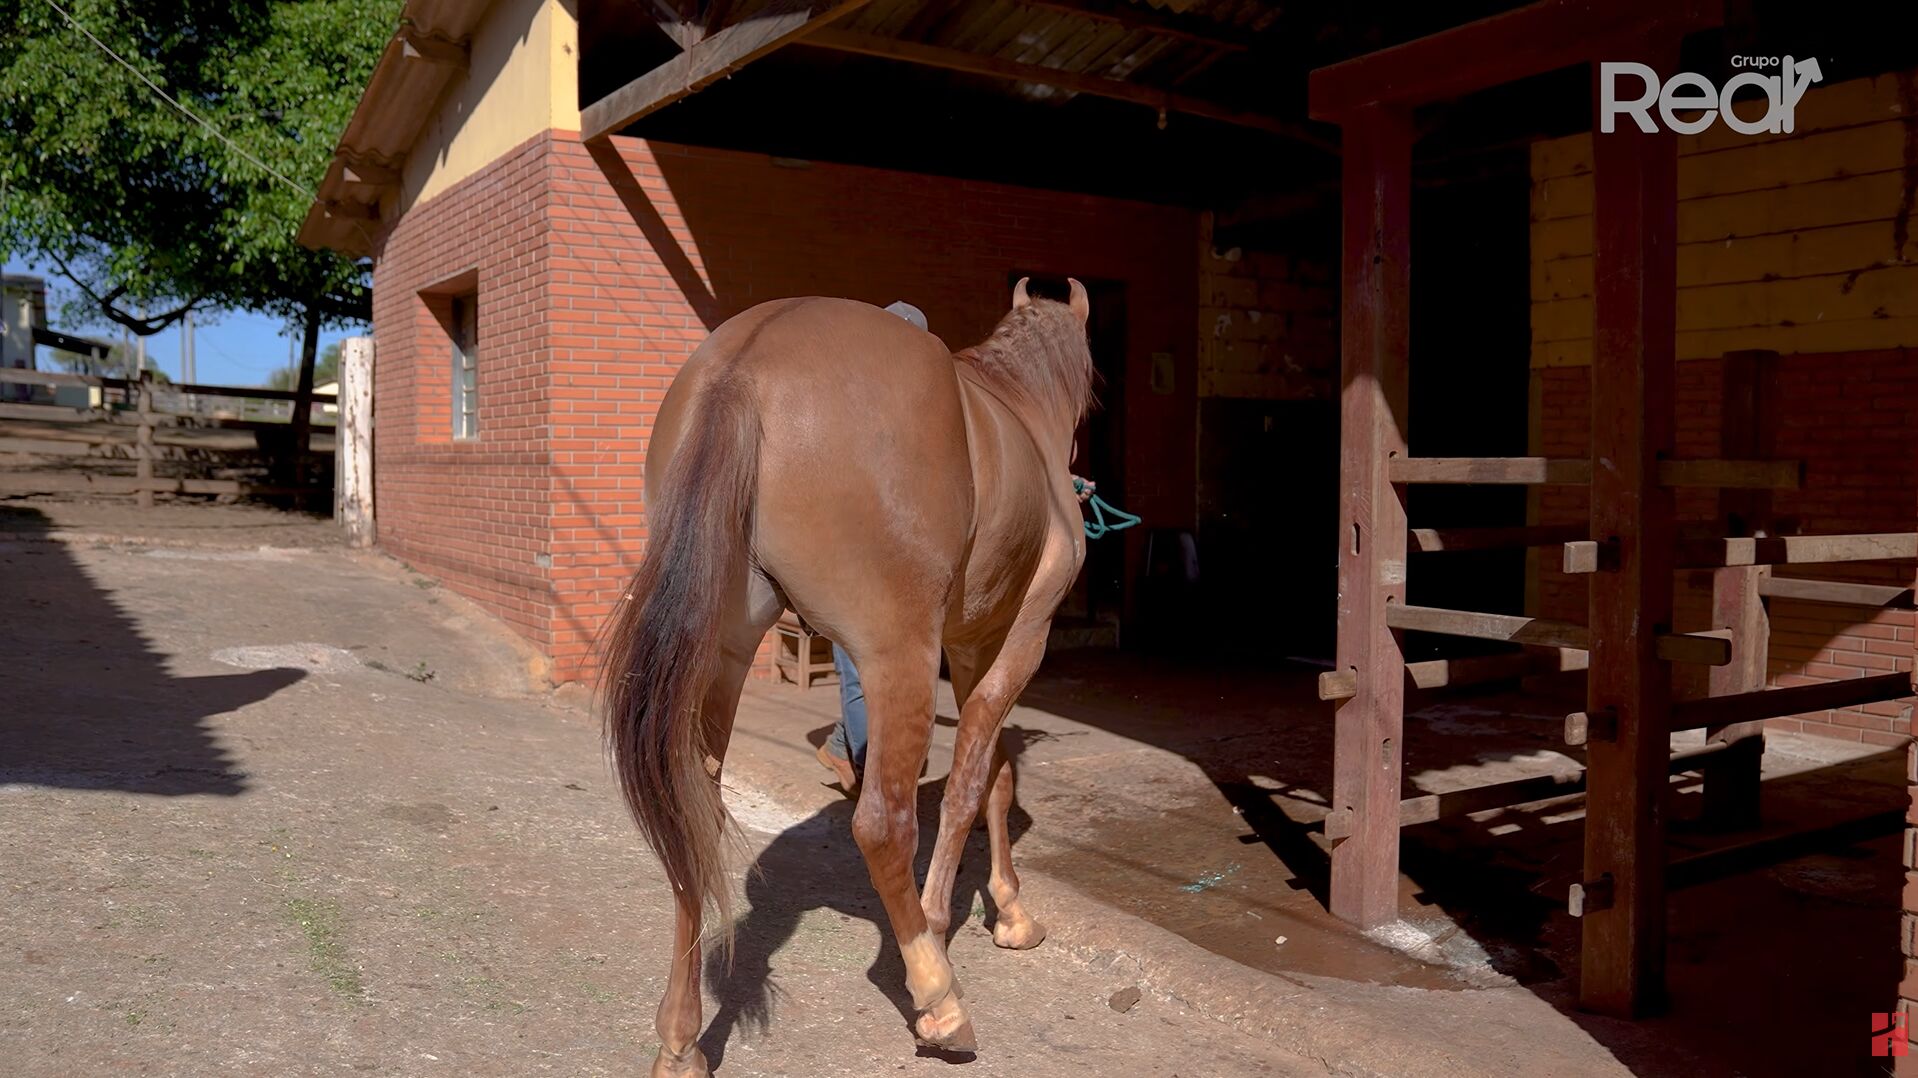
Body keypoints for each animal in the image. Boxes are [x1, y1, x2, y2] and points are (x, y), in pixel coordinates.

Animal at [600, 277, 1095, 1075]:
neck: (1017, 409)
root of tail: (744, 366)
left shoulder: (974, 645)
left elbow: (995, 774)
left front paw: (1011, 910)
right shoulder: (1020, 638)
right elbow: (968, 786)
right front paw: (947, 926)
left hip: (724, 653)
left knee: (691, 812)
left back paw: (679, 1040)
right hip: (899, 656)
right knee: (883, 825)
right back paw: (940, 1001)